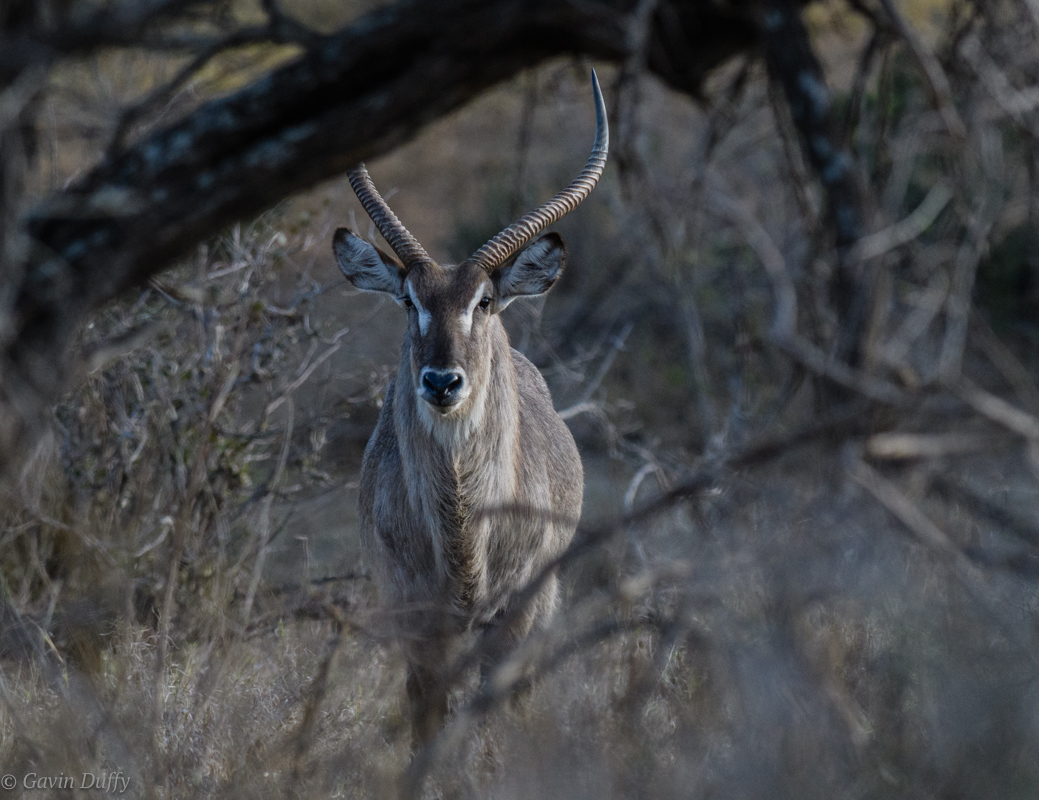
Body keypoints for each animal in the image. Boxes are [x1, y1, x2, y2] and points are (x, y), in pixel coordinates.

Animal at [332, 71, 606, 739]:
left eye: (482, 301)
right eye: (409, 299)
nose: (441, 382)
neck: (464, 547)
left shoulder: (514, 616)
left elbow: (494, 718)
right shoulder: (415, 618)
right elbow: (428, 717)